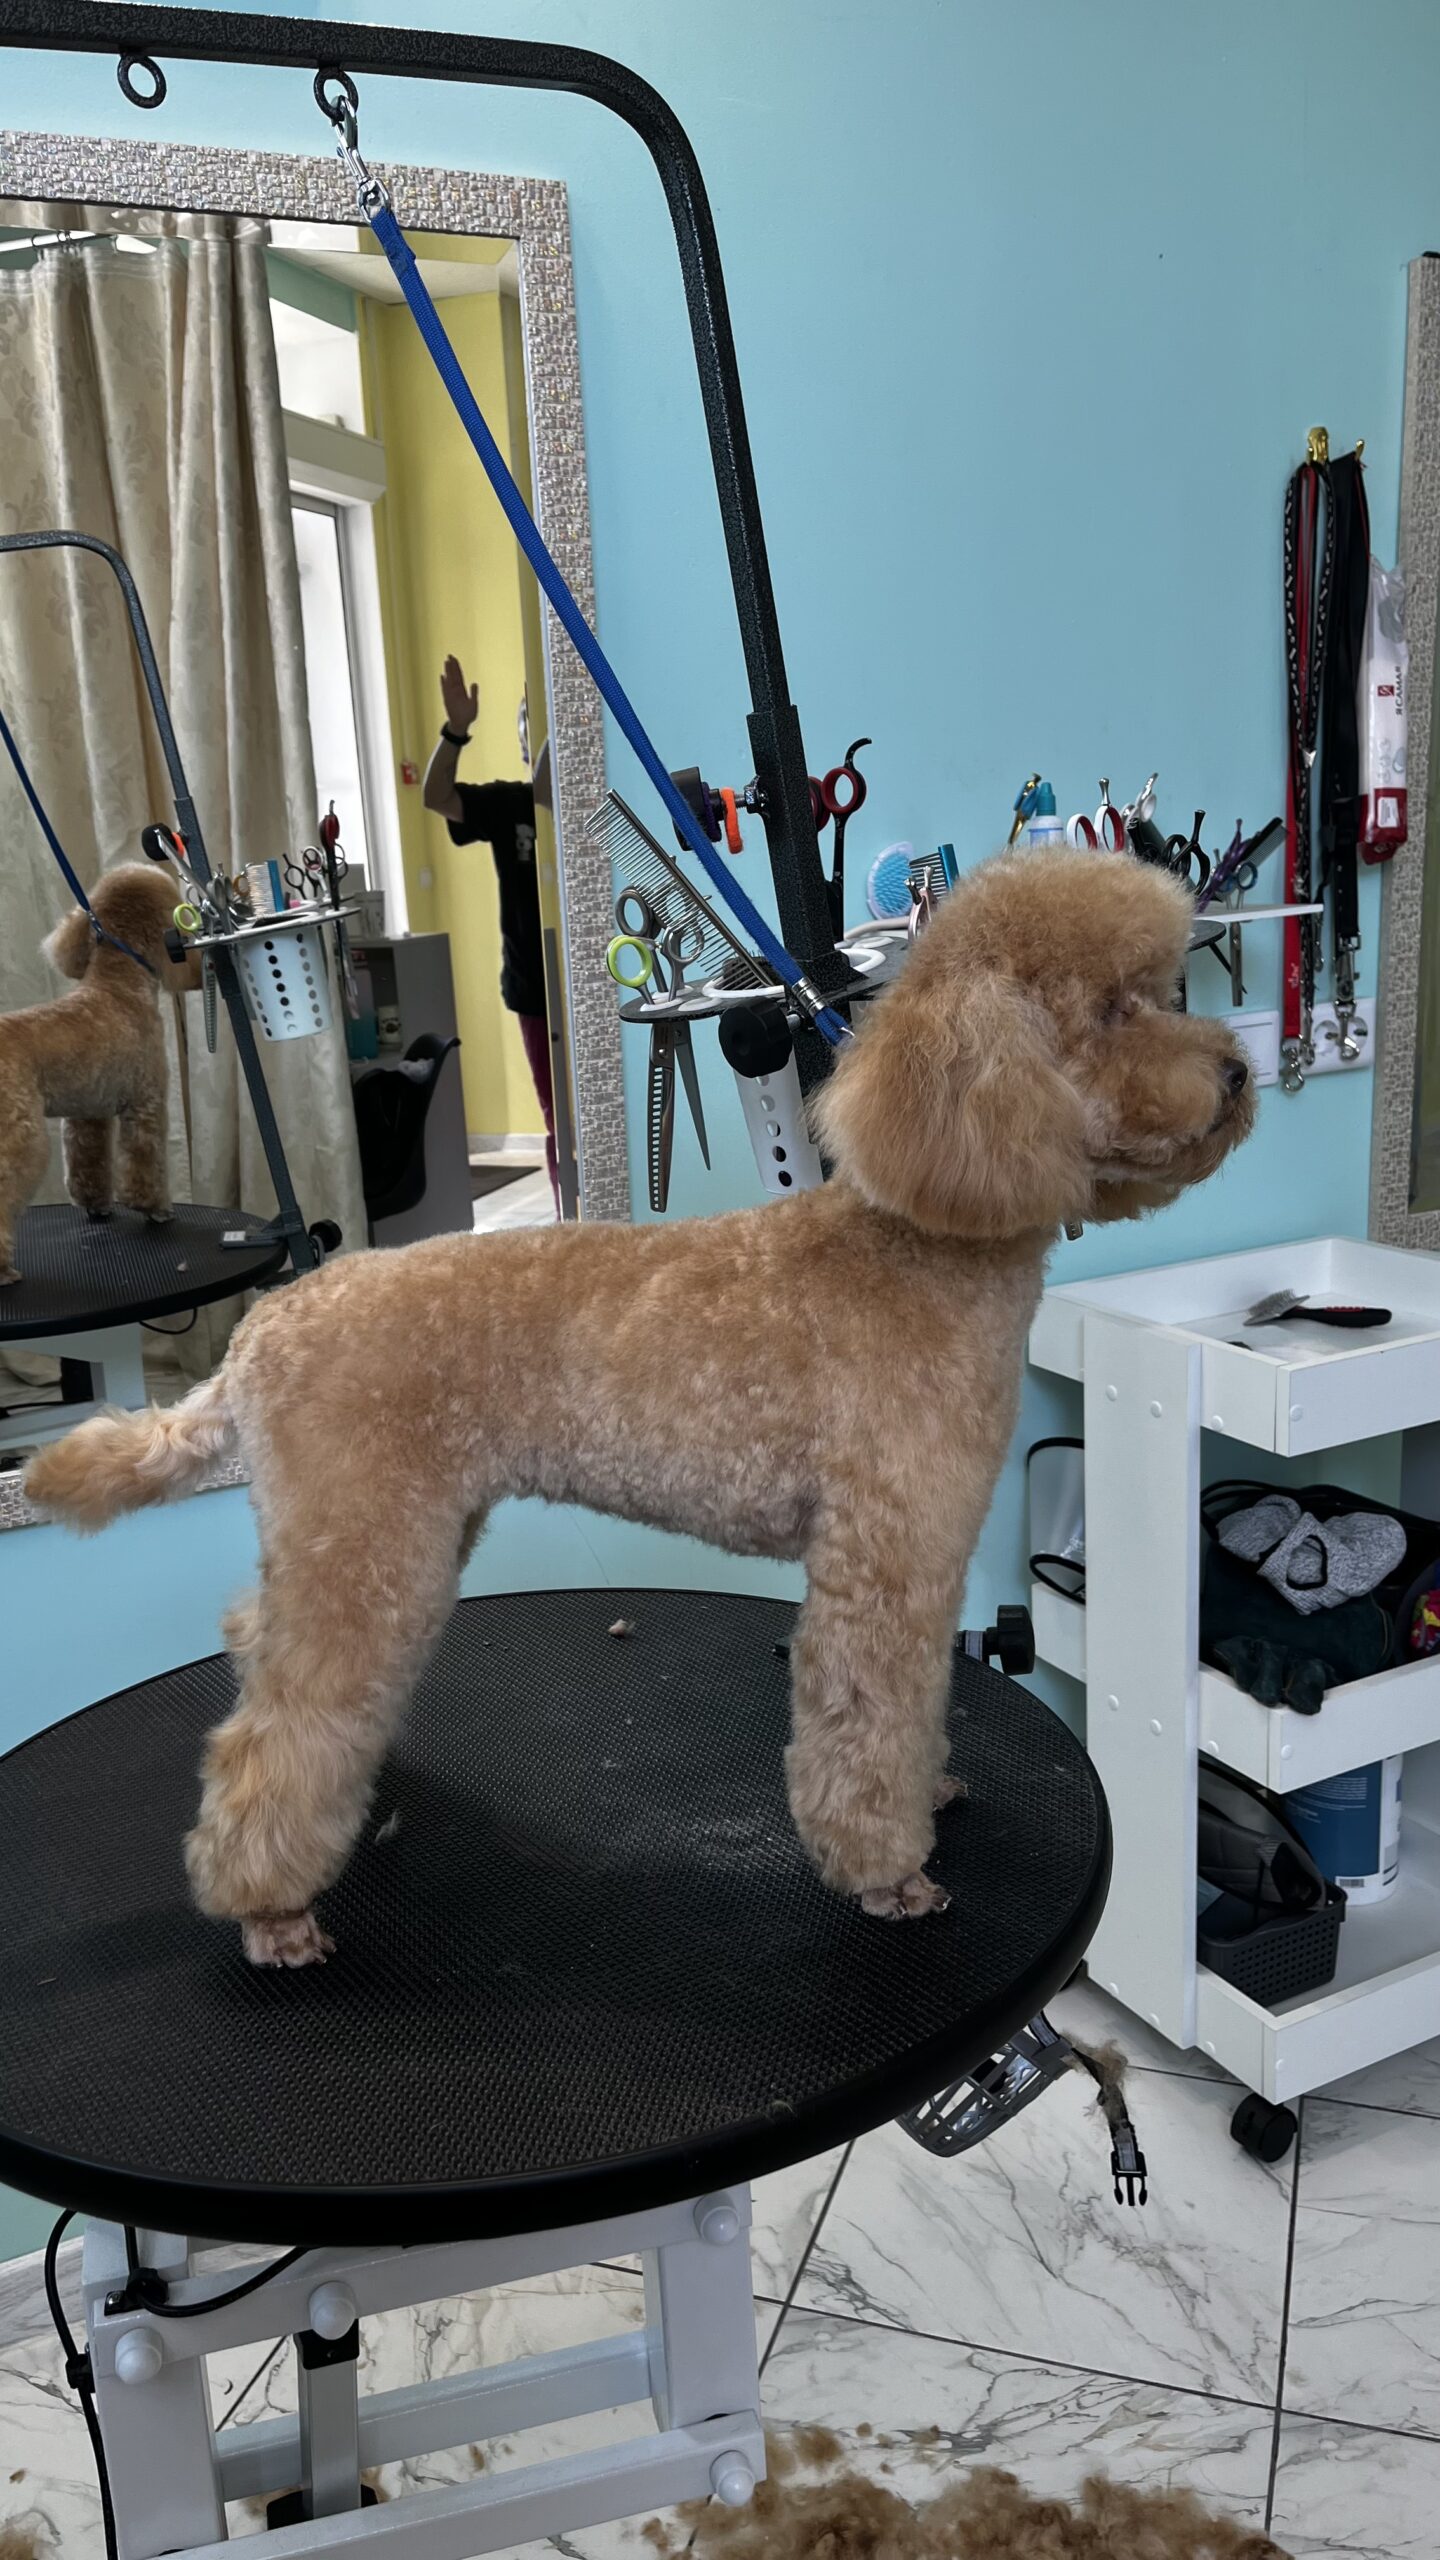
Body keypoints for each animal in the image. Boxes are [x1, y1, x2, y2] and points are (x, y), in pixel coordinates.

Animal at [0, 864, 202, 1284]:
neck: (118, 986)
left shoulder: (87, 1112)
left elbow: (88, 1165)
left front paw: (97, 1205)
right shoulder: (146, 1102)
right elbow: (145, 1162)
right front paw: (156, 1209)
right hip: (20, 1139)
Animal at [26, 850, 1254, 1966]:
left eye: (1171, 988)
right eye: (1113, 1009)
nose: (1242, 1071)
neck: (922, 1240)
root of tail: (265, 1328)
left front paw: (935, 1789)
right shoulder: (886, 1561)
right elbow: (870, 1723)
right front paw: (887, 1871)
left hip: (384, 1530)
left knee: (264, 1647)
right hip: (368, 1539)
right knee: (277, 1730)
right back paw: (269, 1904)